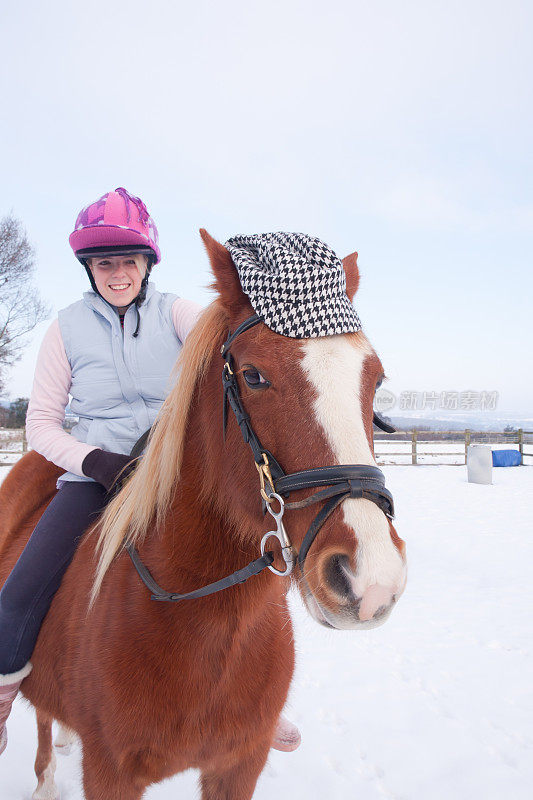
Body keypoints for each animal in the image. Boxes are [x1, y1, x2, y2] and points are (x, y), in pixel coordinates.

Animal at [0, 228, 406, 796]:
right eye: (254, 376)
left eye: (375, 379)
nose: (371, 580)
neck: (211, 627)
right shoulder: (109, 772)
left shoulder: (240, 765)